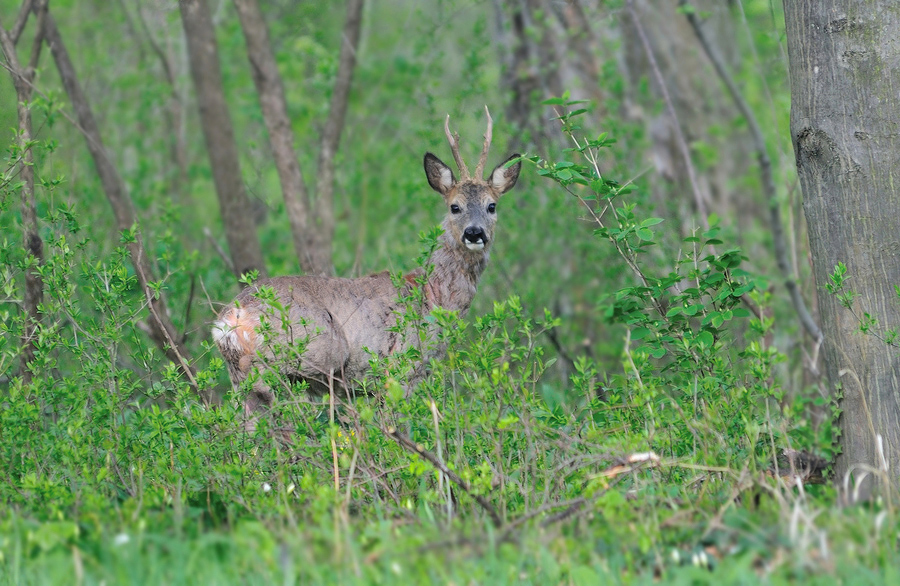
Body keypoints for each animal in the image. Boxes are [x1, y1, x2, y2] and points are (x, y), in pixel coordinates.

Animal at [212, 107, 520, 412]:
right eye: (455, 206)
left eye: (491, 206)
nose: (474, 233)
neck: (434, 294)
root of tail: (230, 319)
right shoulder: (401, 366)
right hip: (306, 358)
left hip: (242, 379)